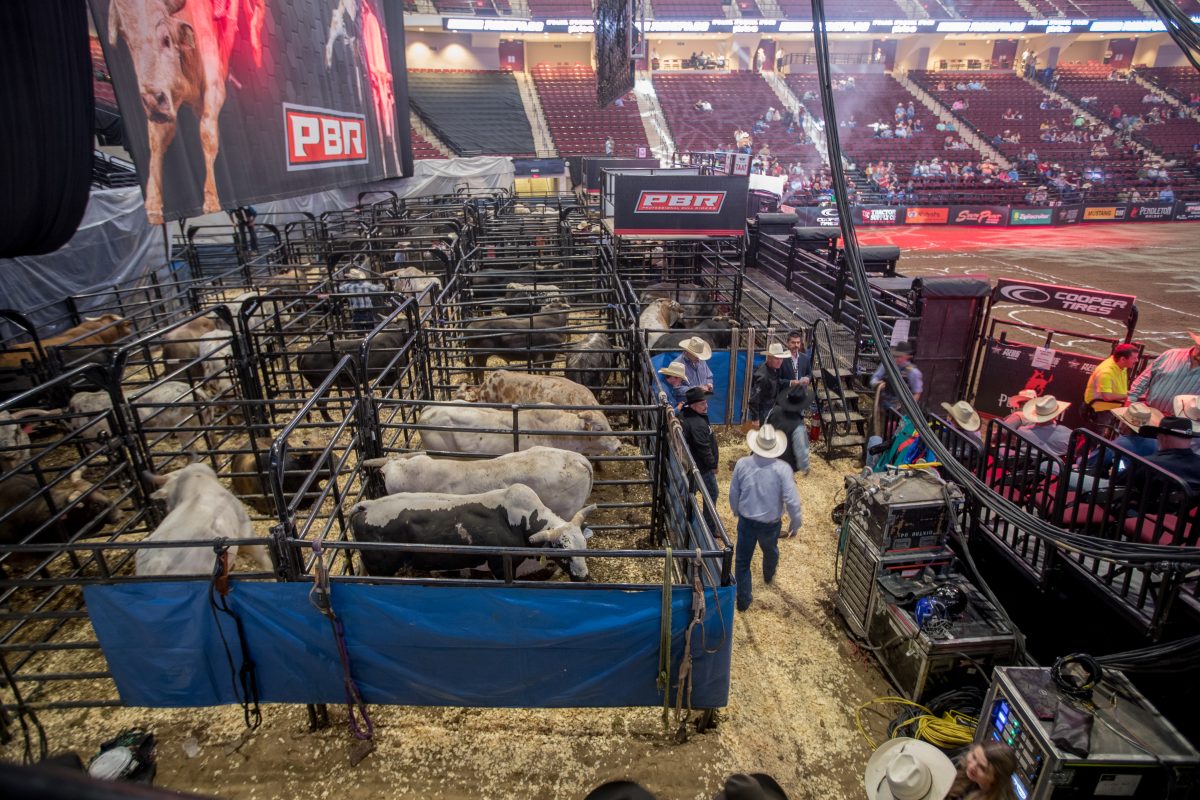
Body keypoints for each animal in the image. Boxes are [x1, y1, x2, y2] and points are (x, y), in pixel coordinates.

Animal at [106, 0, 264, 224]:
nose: (153, 99)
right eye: (127, 41)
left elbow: (207, 135)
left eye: (166, 39)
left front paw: (210, 199)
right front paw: (153, 206)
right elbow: (157, 142)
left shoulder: (212, 87)